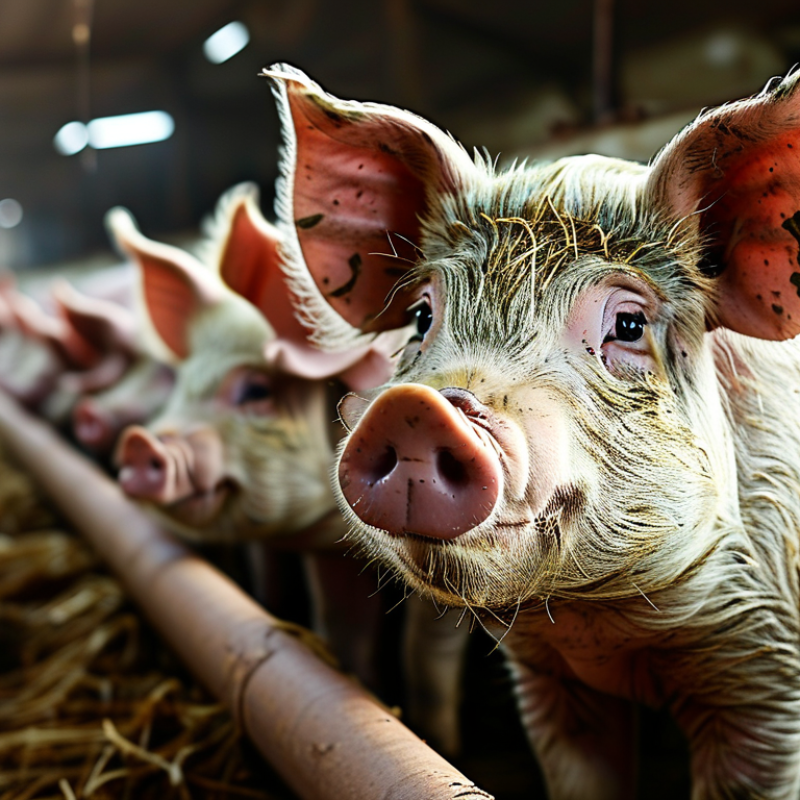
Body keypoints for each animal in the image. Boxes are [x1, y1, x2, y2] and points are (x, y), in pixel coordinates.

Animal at [266, 63, 800, 798]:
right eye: (422, 315)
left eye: (628, 324)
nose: (416, 407)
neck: (605, 625)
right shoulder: (548, 682)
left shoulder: (767, 672)